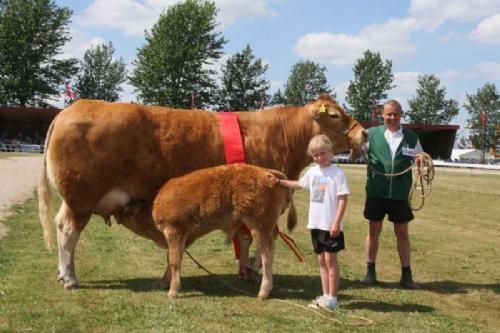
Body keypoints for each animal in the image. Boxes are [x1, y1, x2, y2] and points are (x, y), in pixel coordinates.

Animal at [39, 93, 366, 288]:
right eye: (335, 116)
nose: (363, 133)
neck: (282, 138)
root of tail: (72, 108)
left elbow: (245, 237)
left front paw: (246, 268)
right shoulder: (261, 203)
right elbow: (262, 237)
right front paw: (255, 268)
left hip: (73, 199)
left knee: (59, 225)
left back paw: (61, 271)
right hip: (81, 198)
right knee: (68, 231)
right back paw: (70, 277)